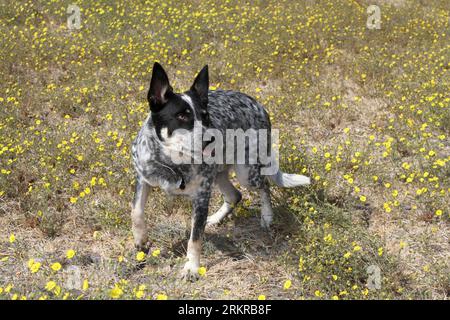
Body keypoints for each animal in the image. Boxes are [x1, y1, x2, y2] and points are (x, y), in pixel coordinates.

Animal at [130, 63, 310, 280]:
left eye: (205, 116)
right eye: (181, 116)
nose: (212, 138)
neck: (172, 164)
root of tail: (258, 104)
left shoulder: (201, 195)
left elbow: (195, 238)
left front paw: (191, 267)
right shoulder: (143, 178)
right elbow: (136, 212)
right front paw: (141, 242)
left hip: (246, 172)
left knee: (264, 186)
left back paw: (267, 216)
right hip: (218, 175)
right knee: (235, 195)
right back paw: (215, 218)